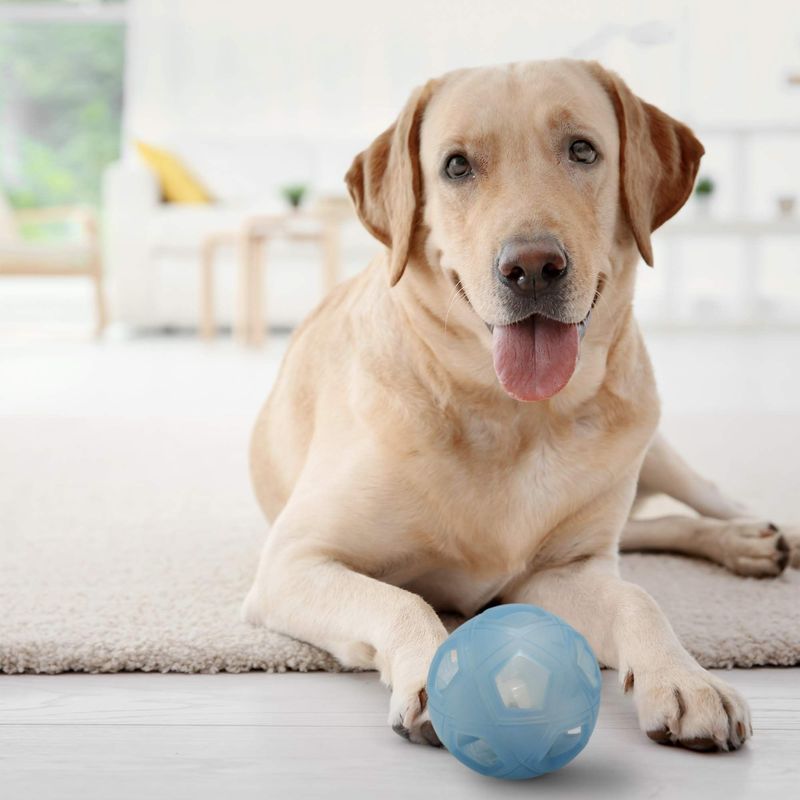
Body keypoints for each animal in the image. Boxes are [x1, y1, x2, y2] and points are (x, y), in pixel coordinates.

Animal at [241, 61, 796, 752]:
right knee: (644, 531)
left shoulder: (560, 572)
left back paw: (755, 536)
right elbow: (404, 599)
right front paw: (433, 676)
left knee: (703, 501)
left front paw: (686, 681)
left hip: (653, 448)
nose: (532, 266)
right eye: (456, 166)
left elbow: (638, 599)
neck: (515, 415)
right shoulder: (292, 563)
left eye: (582, 150)